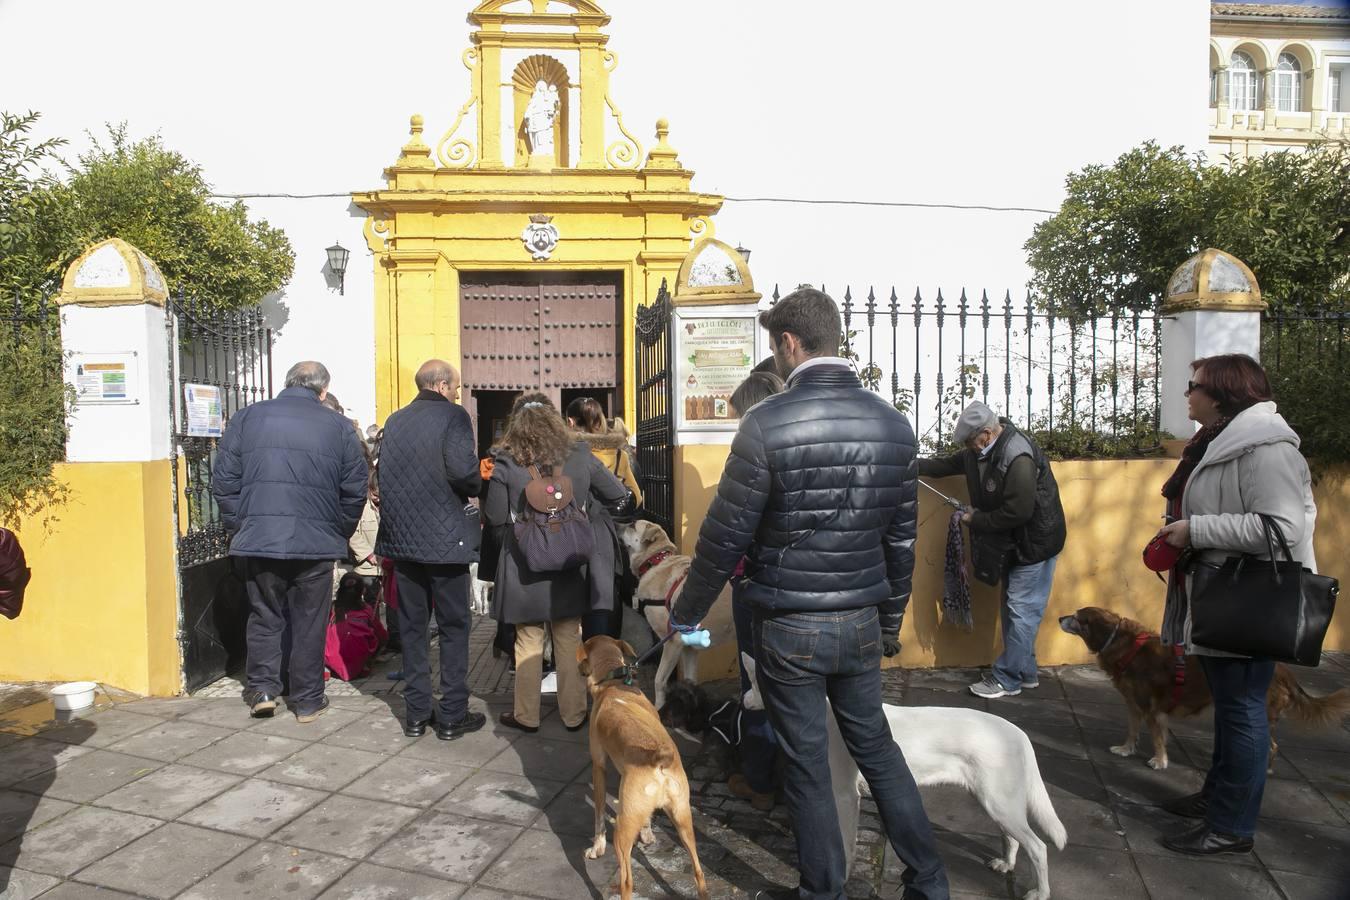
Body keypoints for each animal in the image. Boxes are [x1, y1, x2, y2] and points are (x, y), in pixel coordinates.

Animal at [575, 634, 712, 900]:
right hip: (683, 818)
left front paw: (597, 848)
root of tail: (658, 759)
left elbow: (598, 814)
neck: (614, 682)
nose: (579, 670)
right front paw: (648, 834)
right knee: (699, 872)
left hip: (622, 829)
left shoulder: (599, 766)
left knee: (627, 882)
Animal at [618, 520, 734, 712]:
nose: (616, 523)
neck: (655, 561)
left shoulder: (671, 643)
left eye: (633, 525)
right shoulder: (689, 648)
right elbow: (690, 681)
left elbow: (659, 680)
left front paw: (658, 708)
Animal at [739, 655, 1063, 900]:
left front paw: (841, 879)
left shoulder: (845, 796)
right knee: (1012, 837)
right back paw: (1006, 864)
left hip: (998, 803)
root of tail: (1017, 732)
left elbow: (845, 845)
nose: (742, 701)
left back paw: (1040, 893)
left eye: (753, 682)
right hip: (994, 802)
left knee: (1038, 847)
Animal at [1053, 604, 1350, 766]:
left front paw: (1159, 762)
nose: (1058, 618)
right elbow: (1132, 731)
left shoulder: (1152, 710)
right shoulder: (1134, 705)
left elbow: (1157, 737)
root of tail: (1283, 669)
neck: (1125, 645)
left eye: (1077, 617)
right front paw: (1126, 749)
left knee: (1271, 747)